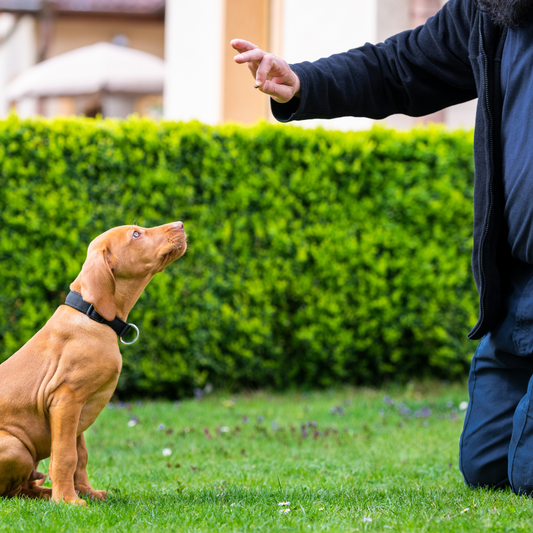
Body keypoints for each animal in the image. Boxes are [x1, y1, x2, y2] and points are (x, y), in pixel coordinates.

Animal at [0, 220, 187, 502]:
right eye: (136, 234)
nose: (181, 224)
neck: (93, 315)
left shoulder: (77, 410)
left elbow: (80, 456)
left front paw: (85, 492)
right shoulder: (65, 399)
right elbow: (65, 456)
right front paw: (67, 500)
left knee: (24, 488)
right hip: (15, 446)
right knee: (11, 492)